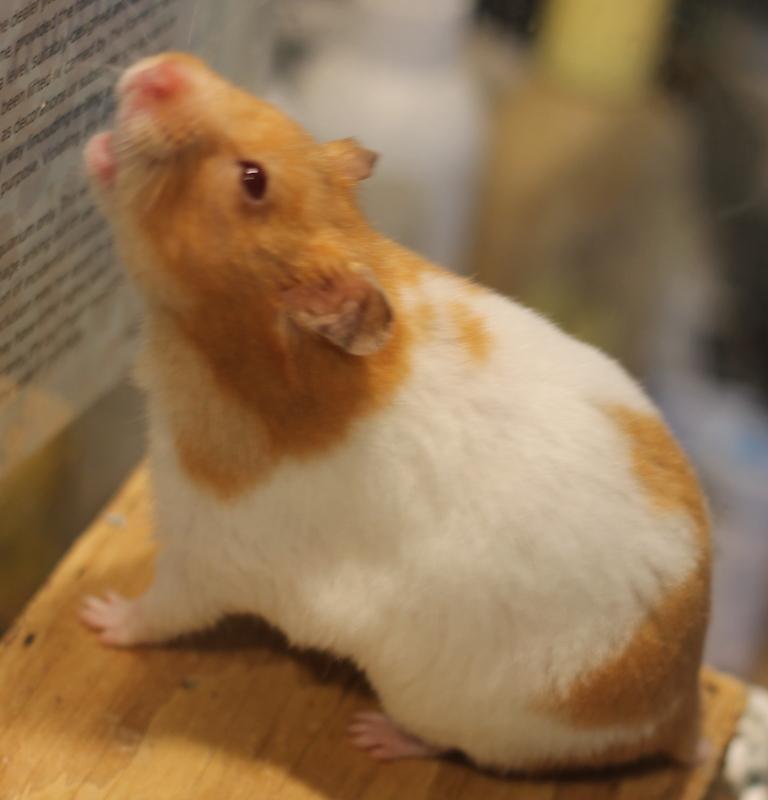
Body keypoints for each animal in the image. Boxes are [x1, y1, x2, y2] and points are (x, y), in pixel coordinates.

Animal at [81, 52, 710, 773]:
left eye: (252, 181)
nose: (162, 66)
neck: (221, 354)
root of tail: (676, 712)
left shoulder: (206, 557)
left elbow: (158, 611)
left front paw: (97, 612)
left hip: (447, 703)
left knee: (440, 742)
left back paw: (373, 735)